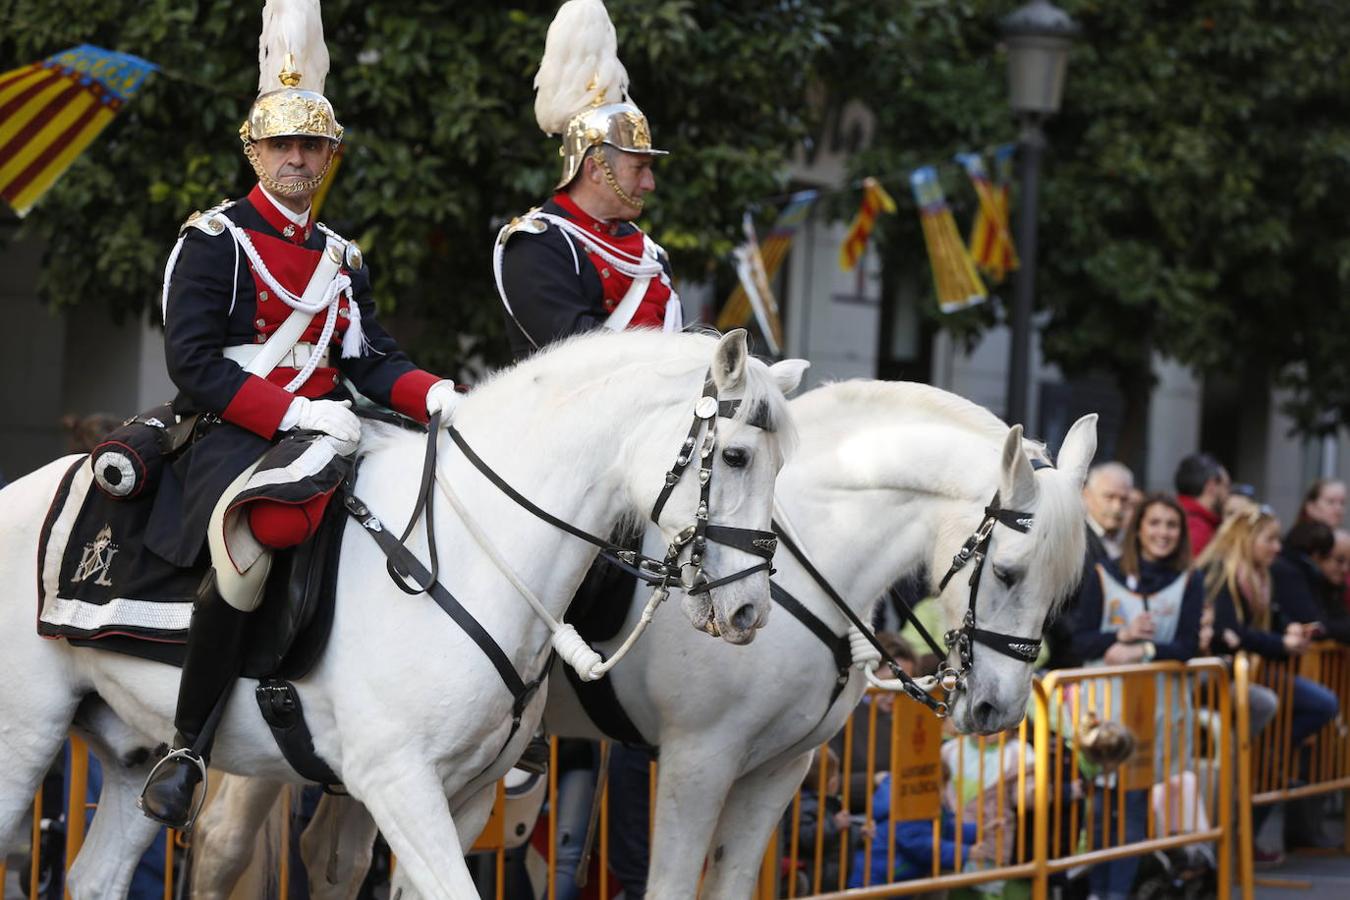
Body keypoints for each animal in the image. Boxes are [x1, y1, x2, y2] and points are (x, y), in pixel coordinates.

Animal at [0, 330, 799, 900]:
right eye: (734, 457)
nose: (749, 609)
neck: (472, 551)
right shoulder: (396, 782)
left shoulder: (465, 797)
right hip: (25, 740)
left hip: (128, 756)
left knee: (95, 877)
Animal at [193, 383, 1096, 900]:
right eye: (1008, 572)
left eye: (1065, 587)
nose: (996, 708)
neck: (805, 549)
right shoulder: (700, 759)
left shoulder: (780, 769)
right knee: (223, 845)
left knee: (330, 856)